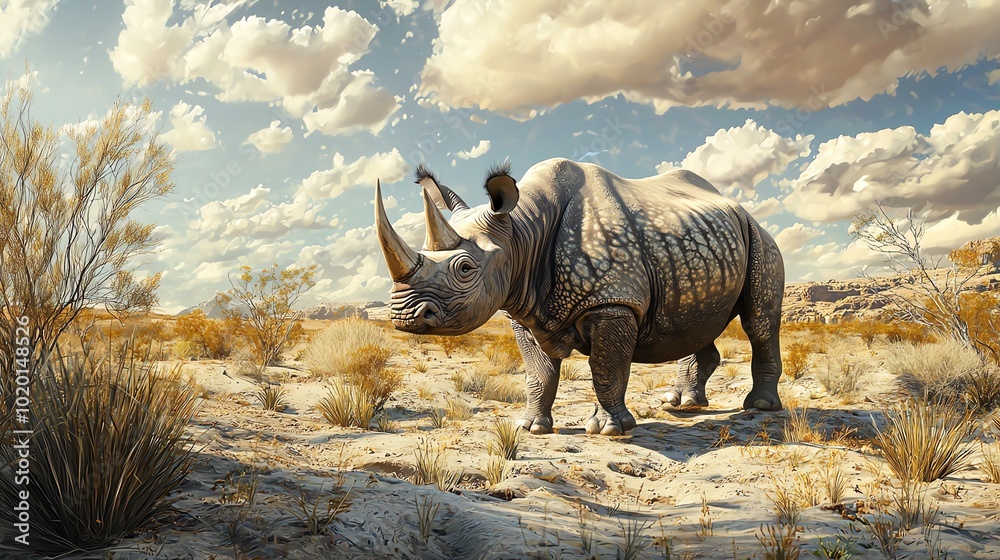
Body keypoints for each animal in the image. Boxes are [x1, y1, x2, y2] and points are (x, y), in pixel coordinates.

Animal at [375, 158, 784, 436]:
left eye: (464, 268)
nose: (402, 315)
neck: (522, 232)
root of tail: (740, 209)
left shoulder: (613, 301)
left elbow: (606, 368)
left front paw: (608, 430)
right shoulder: (525, 308)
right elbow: (538, 373)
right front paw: (530, 427)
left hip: (759, 237)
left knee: (759, 321)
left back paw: (761, 407)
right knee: (697, 322)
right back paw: (682, 405)